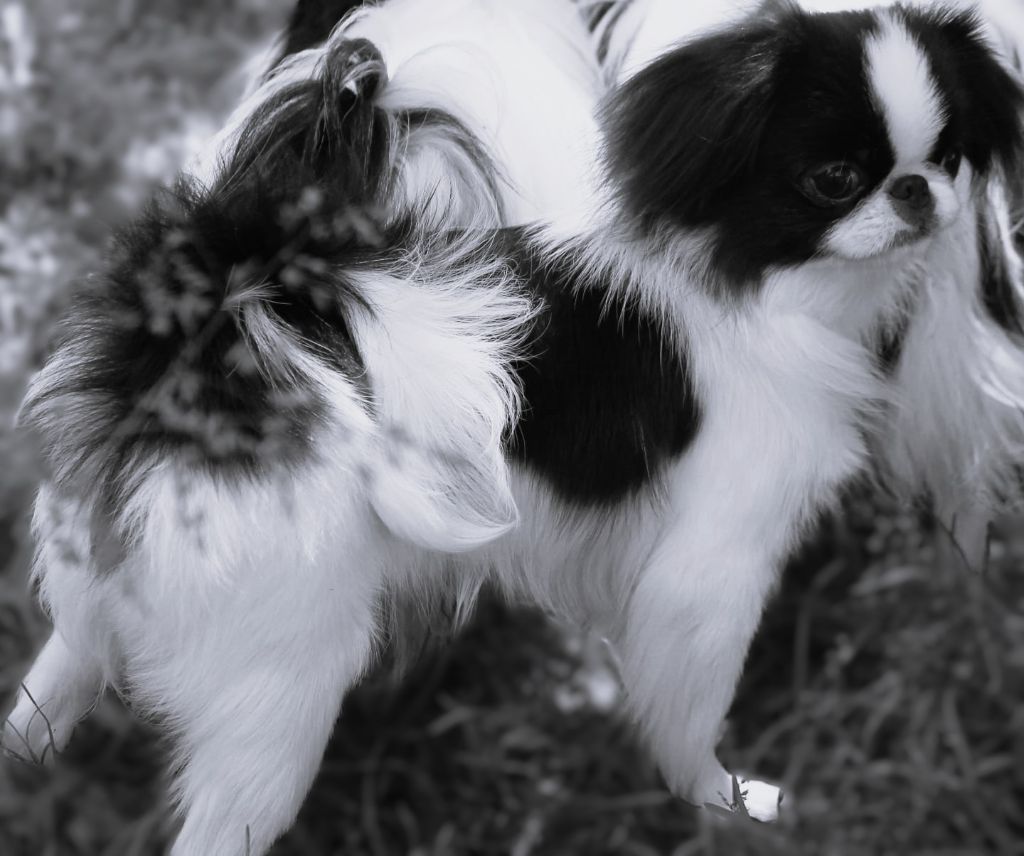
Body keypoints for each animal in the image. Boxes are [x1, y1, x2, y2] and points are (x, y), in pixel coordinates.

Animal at [6, 0, 1024, 853]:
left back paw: (26, 758)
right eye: (834, 179)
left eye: (948, 157)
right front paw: (726, 805)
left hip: (109, 595)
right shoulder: (710, 575)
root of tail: (223, 322)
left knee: (51, 681)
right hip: (279, 686)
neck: (753, 280)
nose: (916, 192)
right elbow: (691, 712)